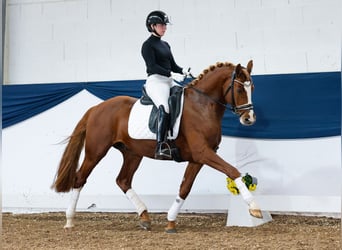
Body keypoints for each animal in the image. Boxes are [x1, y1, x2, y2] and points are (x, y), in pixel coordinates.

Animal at [52, 60, 260, 232]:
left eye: (252, 88)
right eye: (240, 90)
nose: (249, 119)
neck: (202, 106)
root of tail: (96, 108)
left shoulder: (198, 158)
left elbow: (185, 188)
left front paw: (170, 222)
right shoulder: (203, 153)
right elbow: (232, 171)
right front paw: (254, 207)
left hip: (132, 153)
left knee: (123, 180)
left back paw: (144, 217)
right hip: (95, 152)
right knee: (80, 178)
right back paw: (69, 221)